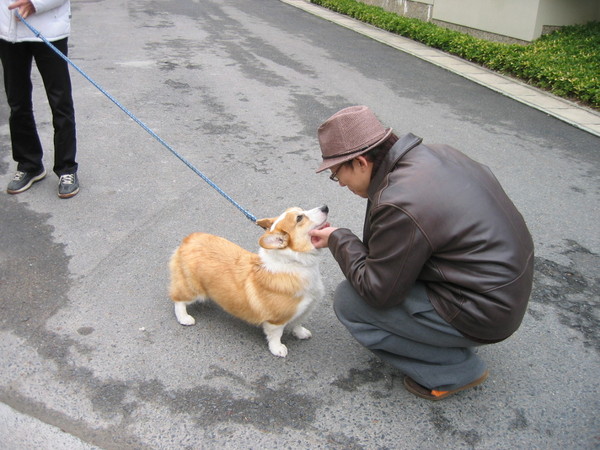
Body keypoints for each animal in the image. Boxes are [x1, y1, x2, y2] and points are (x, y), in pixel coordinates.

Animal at [168, 206, 328, 356]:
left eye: (301, 210)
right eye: (299, 218)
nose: (325, 207)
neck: (294, 263)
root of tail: (188, 240)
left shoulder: (305, 309)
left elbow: (298, 323)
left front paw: (301, 333)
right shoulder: (276, 321)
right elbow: (276, 335)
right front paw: (277, 349)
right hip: (192, 289)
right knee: (178, 300)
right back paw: (184, 318)